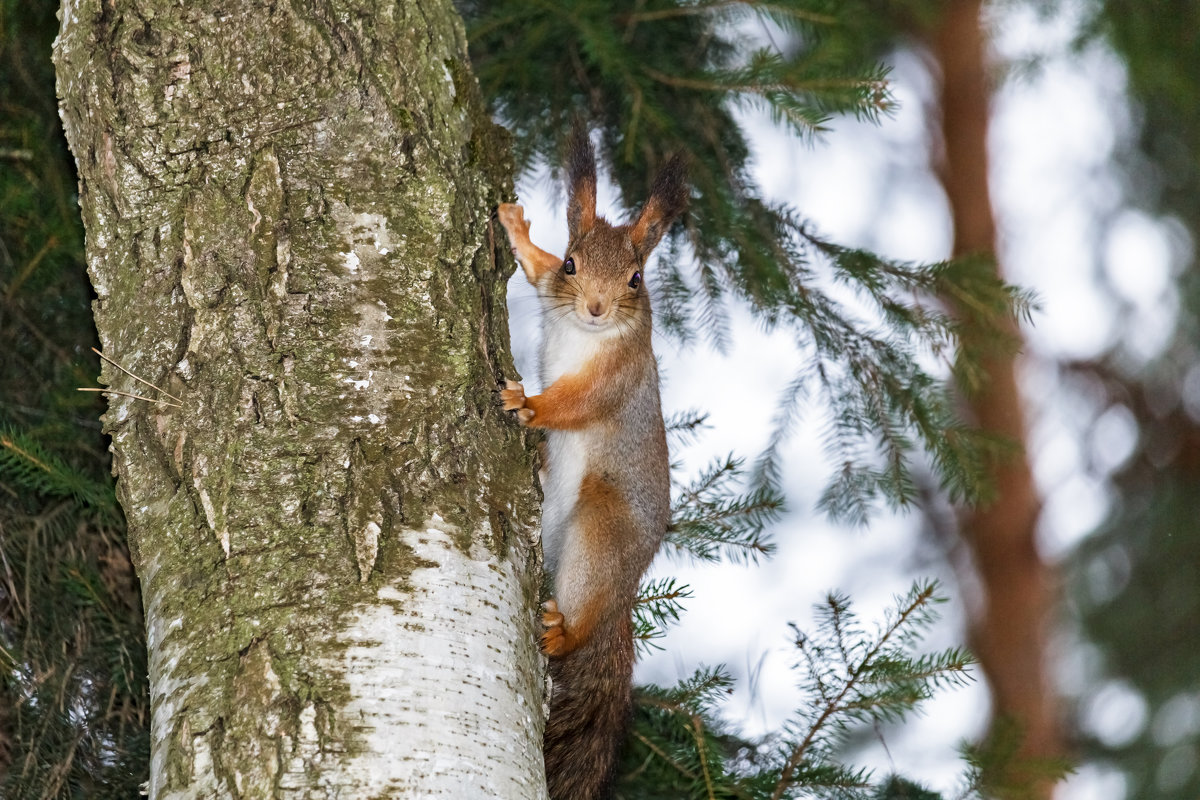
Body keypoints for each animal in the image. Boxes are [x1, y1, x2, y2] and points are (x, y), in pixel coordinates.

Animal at [494, 126, 686, 800]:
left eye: (636, 279)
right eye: (574, 263)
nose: (597, 309)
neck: (589, 336)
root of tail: (624, 598)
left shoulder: (615, 380)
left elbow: (574, 404)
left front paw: (529, 403)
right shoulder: (553, 290)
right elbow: (535, 271)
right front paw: (516, 228)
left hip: (603, 526)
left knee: (581, 619)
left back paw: (563, 631)